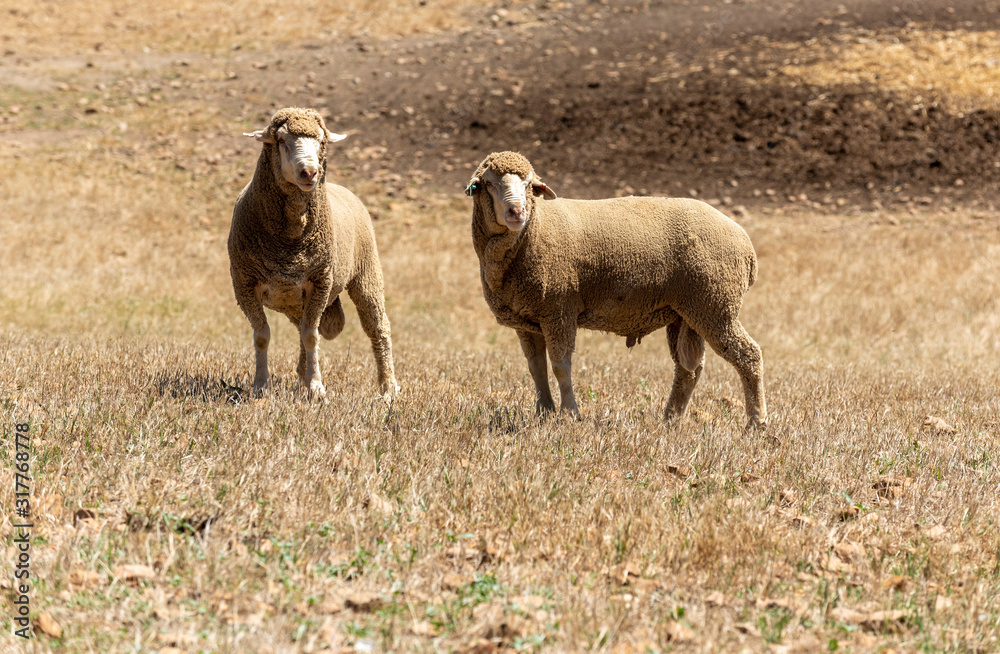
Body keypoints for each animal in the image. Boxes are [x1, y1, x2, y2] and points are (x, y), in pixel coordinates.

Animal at [228, 107, 397, 399]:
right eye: (281, 140)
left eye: (321, 141)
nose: (309, 172)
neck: (289, 242)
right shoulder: (244, 284)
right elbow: (262, 336)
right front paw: (261, 385)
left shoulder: (320, 281)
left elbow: (312, 336)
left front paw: (317, 387)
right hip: (295, 301)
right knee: (302, 328)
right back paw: (301, 376)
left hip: (366, 274)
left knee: (378, 327)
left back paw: (388, 388)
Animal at [466, 151, 766, 429]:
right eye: (488, 183)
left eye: (529, 184)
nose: (517, 213)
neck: (534, 230)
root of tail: (746, 245)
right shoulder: (528, 320)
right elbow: (536, 367)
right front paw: (545, 411)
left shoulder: (559, 310)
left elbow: (561, 366)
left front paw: (569, 414)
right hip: (686, 313)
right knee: (687, 369)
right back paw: (670, 419)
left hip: (715, 306)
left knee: (748, 355)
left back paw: (756, 422)